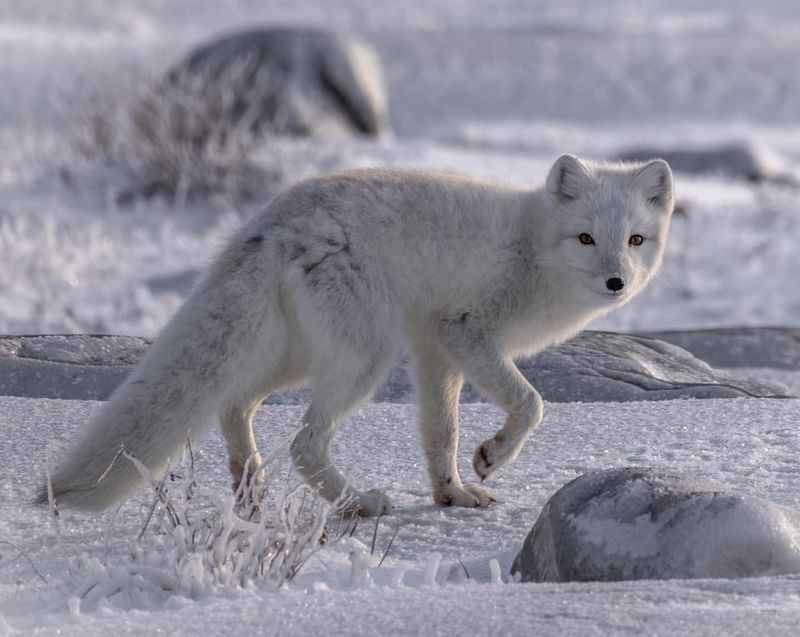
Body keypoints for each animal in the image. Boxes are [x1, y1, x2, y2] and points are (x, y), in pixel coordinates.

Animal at [39, 155, 676, 516]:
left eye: (636, 240)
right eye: (586, 238)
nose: (617, 282)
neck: (534, 246)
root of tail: (271, 223)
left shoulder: (434, 350)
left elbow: (440, 433)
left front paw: (452, 494)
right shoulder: (465, 333)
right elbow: (532, 402)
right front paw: (492, 457)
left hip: (302, 355)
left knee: (233, 403)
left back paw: (250, 488)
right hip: (366, 357)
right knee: (302, 441)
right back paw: (356, 504)